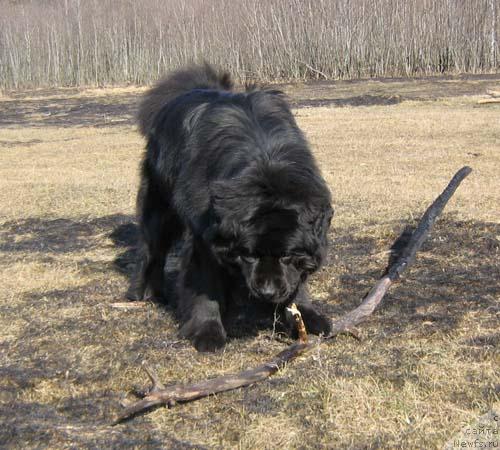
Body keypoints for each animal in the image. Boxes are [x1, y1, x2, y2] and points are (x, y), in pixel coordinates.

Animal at [127, 64, 334, 352]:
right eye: (249, 254)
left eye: (286, 255)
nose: (267, 291)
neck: (265, 163)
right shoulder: (203, 235)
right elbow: (205, 284)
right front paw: (207, 331)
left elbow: (297, 281)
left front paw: (306, 315)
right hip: (159, 206)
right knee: (152, 249)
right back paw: (146, 292)